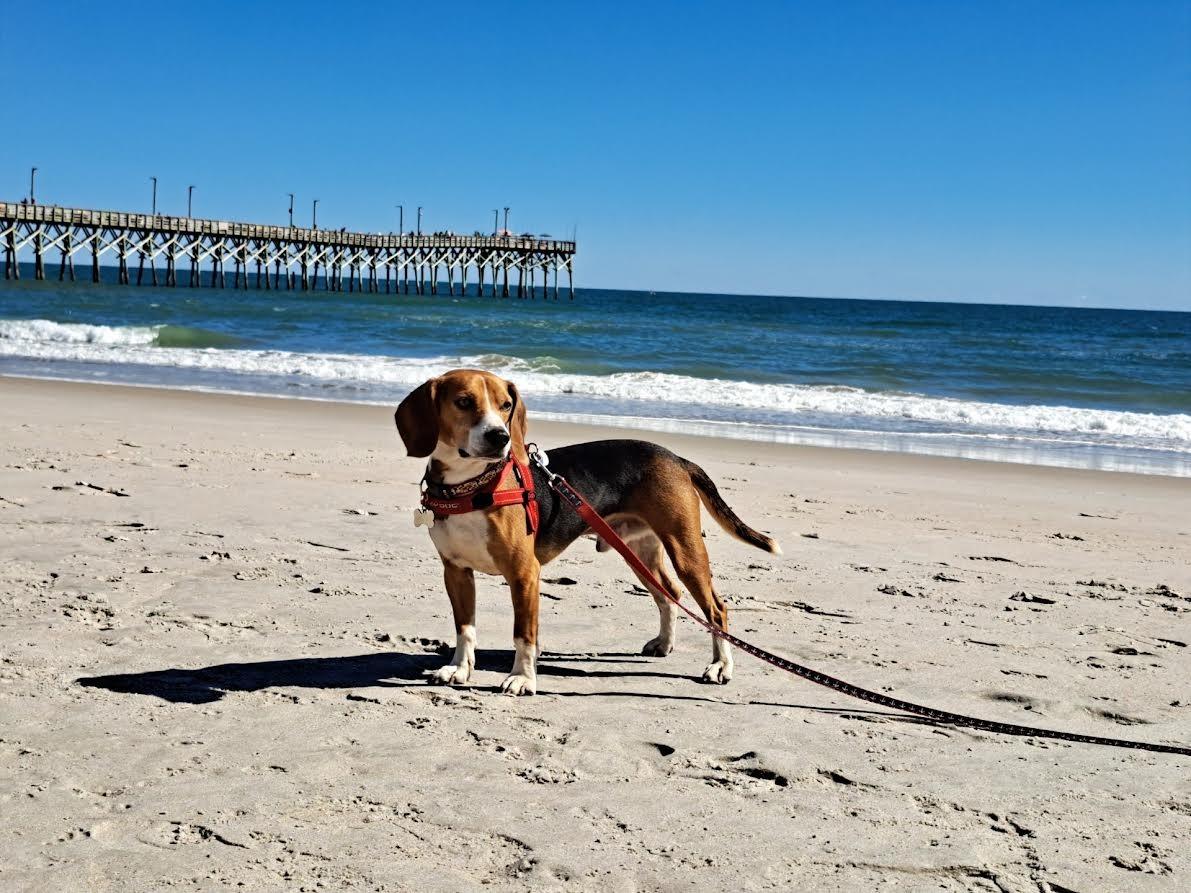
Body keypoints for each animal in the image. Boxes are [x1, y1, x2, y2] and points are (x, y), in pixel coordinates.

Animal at [393, 366, 781, 695]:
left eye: (506, 406)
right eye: (463, 402)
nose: (500, 437)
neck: (471, 486)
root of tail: (677, 458)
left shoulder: (524, 574)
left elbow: (523, 634)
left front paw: (522, 679)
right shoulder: (456, 572)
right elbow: (465, 629)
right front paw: (459, 669)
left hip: (684, 550)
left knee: (716, 608)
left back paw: (720, 666)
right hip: (641, 551)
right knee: (668, 593)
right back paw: (665, 643)